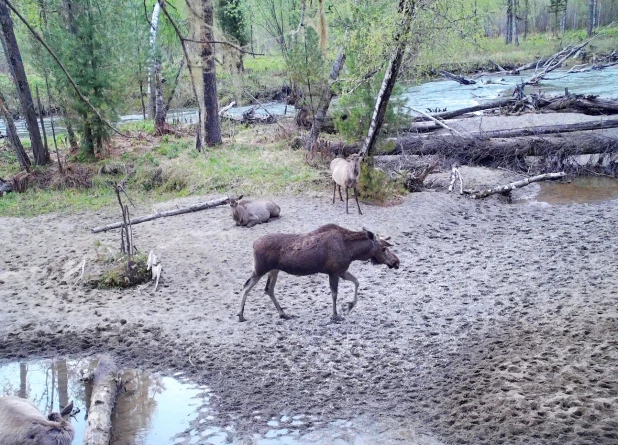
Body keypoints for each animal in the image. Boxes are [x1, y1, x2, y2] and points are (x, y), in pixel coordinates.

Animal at [236, 224, 400, 320]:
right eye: (383, 248)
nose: (396, 262)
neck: (353, 252)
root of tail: (253, 244)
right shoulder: (333, 272)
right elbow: (334, 294)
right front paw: (335, 315)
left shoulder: (341, 271)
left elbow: (357, 282)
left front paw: (349, 306)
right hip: (260, 269)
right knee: (246, 286)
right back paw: (241, 315)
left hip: (274, 270)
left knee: (268, 289)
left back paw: (283, 313)